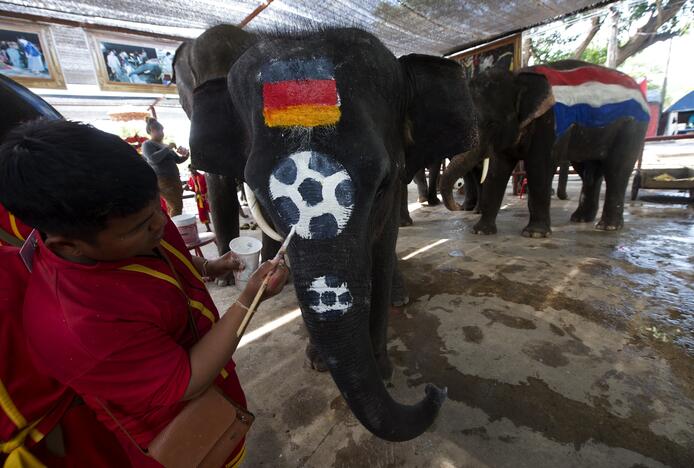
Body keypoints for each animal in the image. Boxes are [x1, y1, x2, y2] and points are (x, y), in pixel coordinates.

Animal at [208, 27, 478, 440]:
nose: (436, 389)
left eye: (382, 184)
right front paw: (317, 363)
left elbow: (379, 257)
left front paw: (384, 370)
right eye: (254, 188)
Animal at [440, 60, 652, 238]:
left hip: (633, 127)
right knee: (590, 170)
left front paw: (534, 234)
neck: (518, 75)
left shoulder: (550, 122)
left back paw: (607, 227)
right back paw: (581, 219)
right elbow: (496, 171)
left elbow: (539, 167)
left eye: (492, 124)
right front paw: (481, 231)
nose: (458, 207)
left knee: (617, 169)